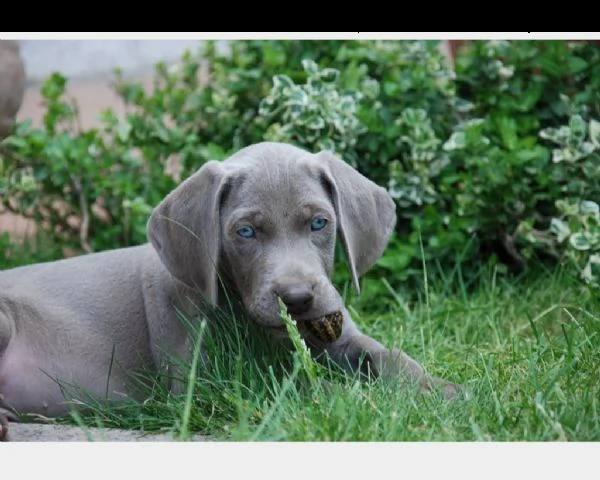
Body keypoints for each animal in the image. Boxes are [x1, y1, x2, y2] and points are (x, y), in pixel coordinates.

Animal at [0, 141, 458, 440]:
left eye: (319, 223)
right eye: (246, 232)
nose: (297, 299)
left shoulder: (341, 336)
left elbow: (390, 357)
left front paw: (437, 390)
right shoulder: (207, 382)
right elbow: (303, 389)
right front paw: (364, 399)